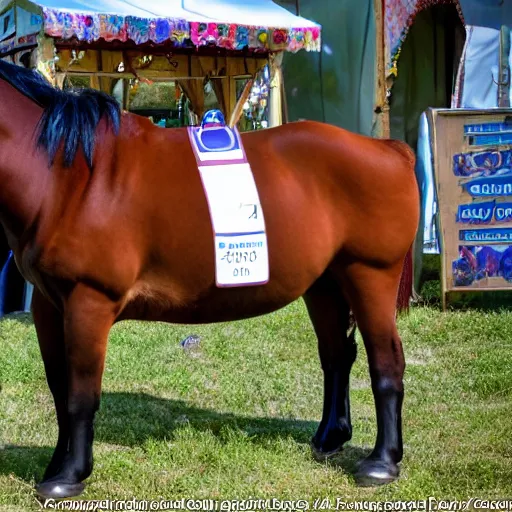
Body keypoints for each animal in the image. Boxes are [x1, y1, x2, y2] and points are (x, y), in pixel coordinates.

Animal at [0, 58, 416, 498]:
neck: (69, 176)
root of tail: (389, 150)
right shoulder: (48, 306)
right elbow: (59, 388)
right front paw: (55, 467)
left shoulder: (88, 300)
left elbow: (80, 394)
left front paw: (70, 475)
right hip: (324, 285)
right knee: (337, 355)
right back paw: (329, 437)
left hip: (370, 275)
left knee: (386, 361)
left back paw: (383, 462)